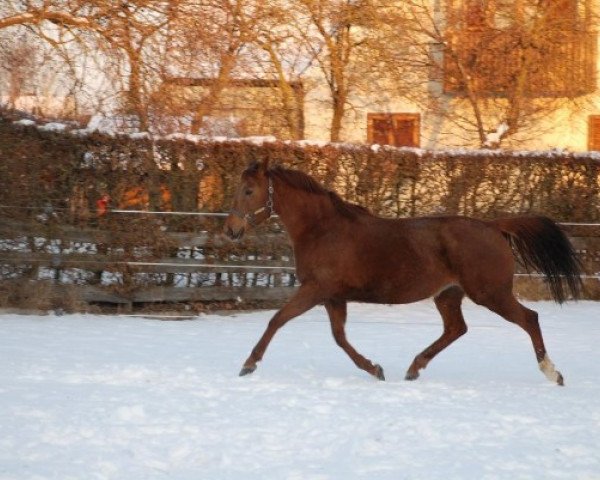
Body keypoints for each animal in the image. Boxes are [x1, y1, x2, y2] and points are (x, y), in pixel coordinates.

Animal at [225, 159, 580, 384]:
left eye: (248, 191)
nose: (231, 229)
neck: (323, 229)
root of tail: (494, 227)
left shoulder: (315, 290)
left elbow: (277, 320)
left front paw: (248, 365)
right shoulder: (333, 297)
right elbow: (340, 338)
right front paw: (375, 369)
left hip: (490, 293)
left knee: (529, 319)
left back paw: (554, 373)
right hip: (449, 295)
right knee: (456, 329)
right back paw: (413, 368)